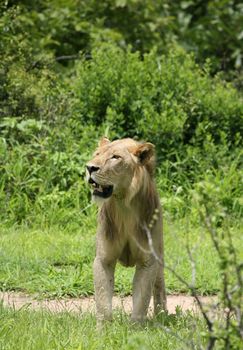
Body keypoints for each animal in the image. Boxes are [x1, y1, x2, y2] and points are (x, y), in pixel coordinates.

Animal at [86, 137, 167, 322]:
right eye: (97, 154)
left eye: (115, 157)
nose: (89, 167)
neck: (124, 205)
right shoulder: (104, 259)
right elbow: (103, 302)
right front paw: (103, 329)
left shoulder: (148, 262)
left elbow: (141, 303)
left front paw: (135, 328)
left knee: (159, 287)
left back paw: (163, 317)